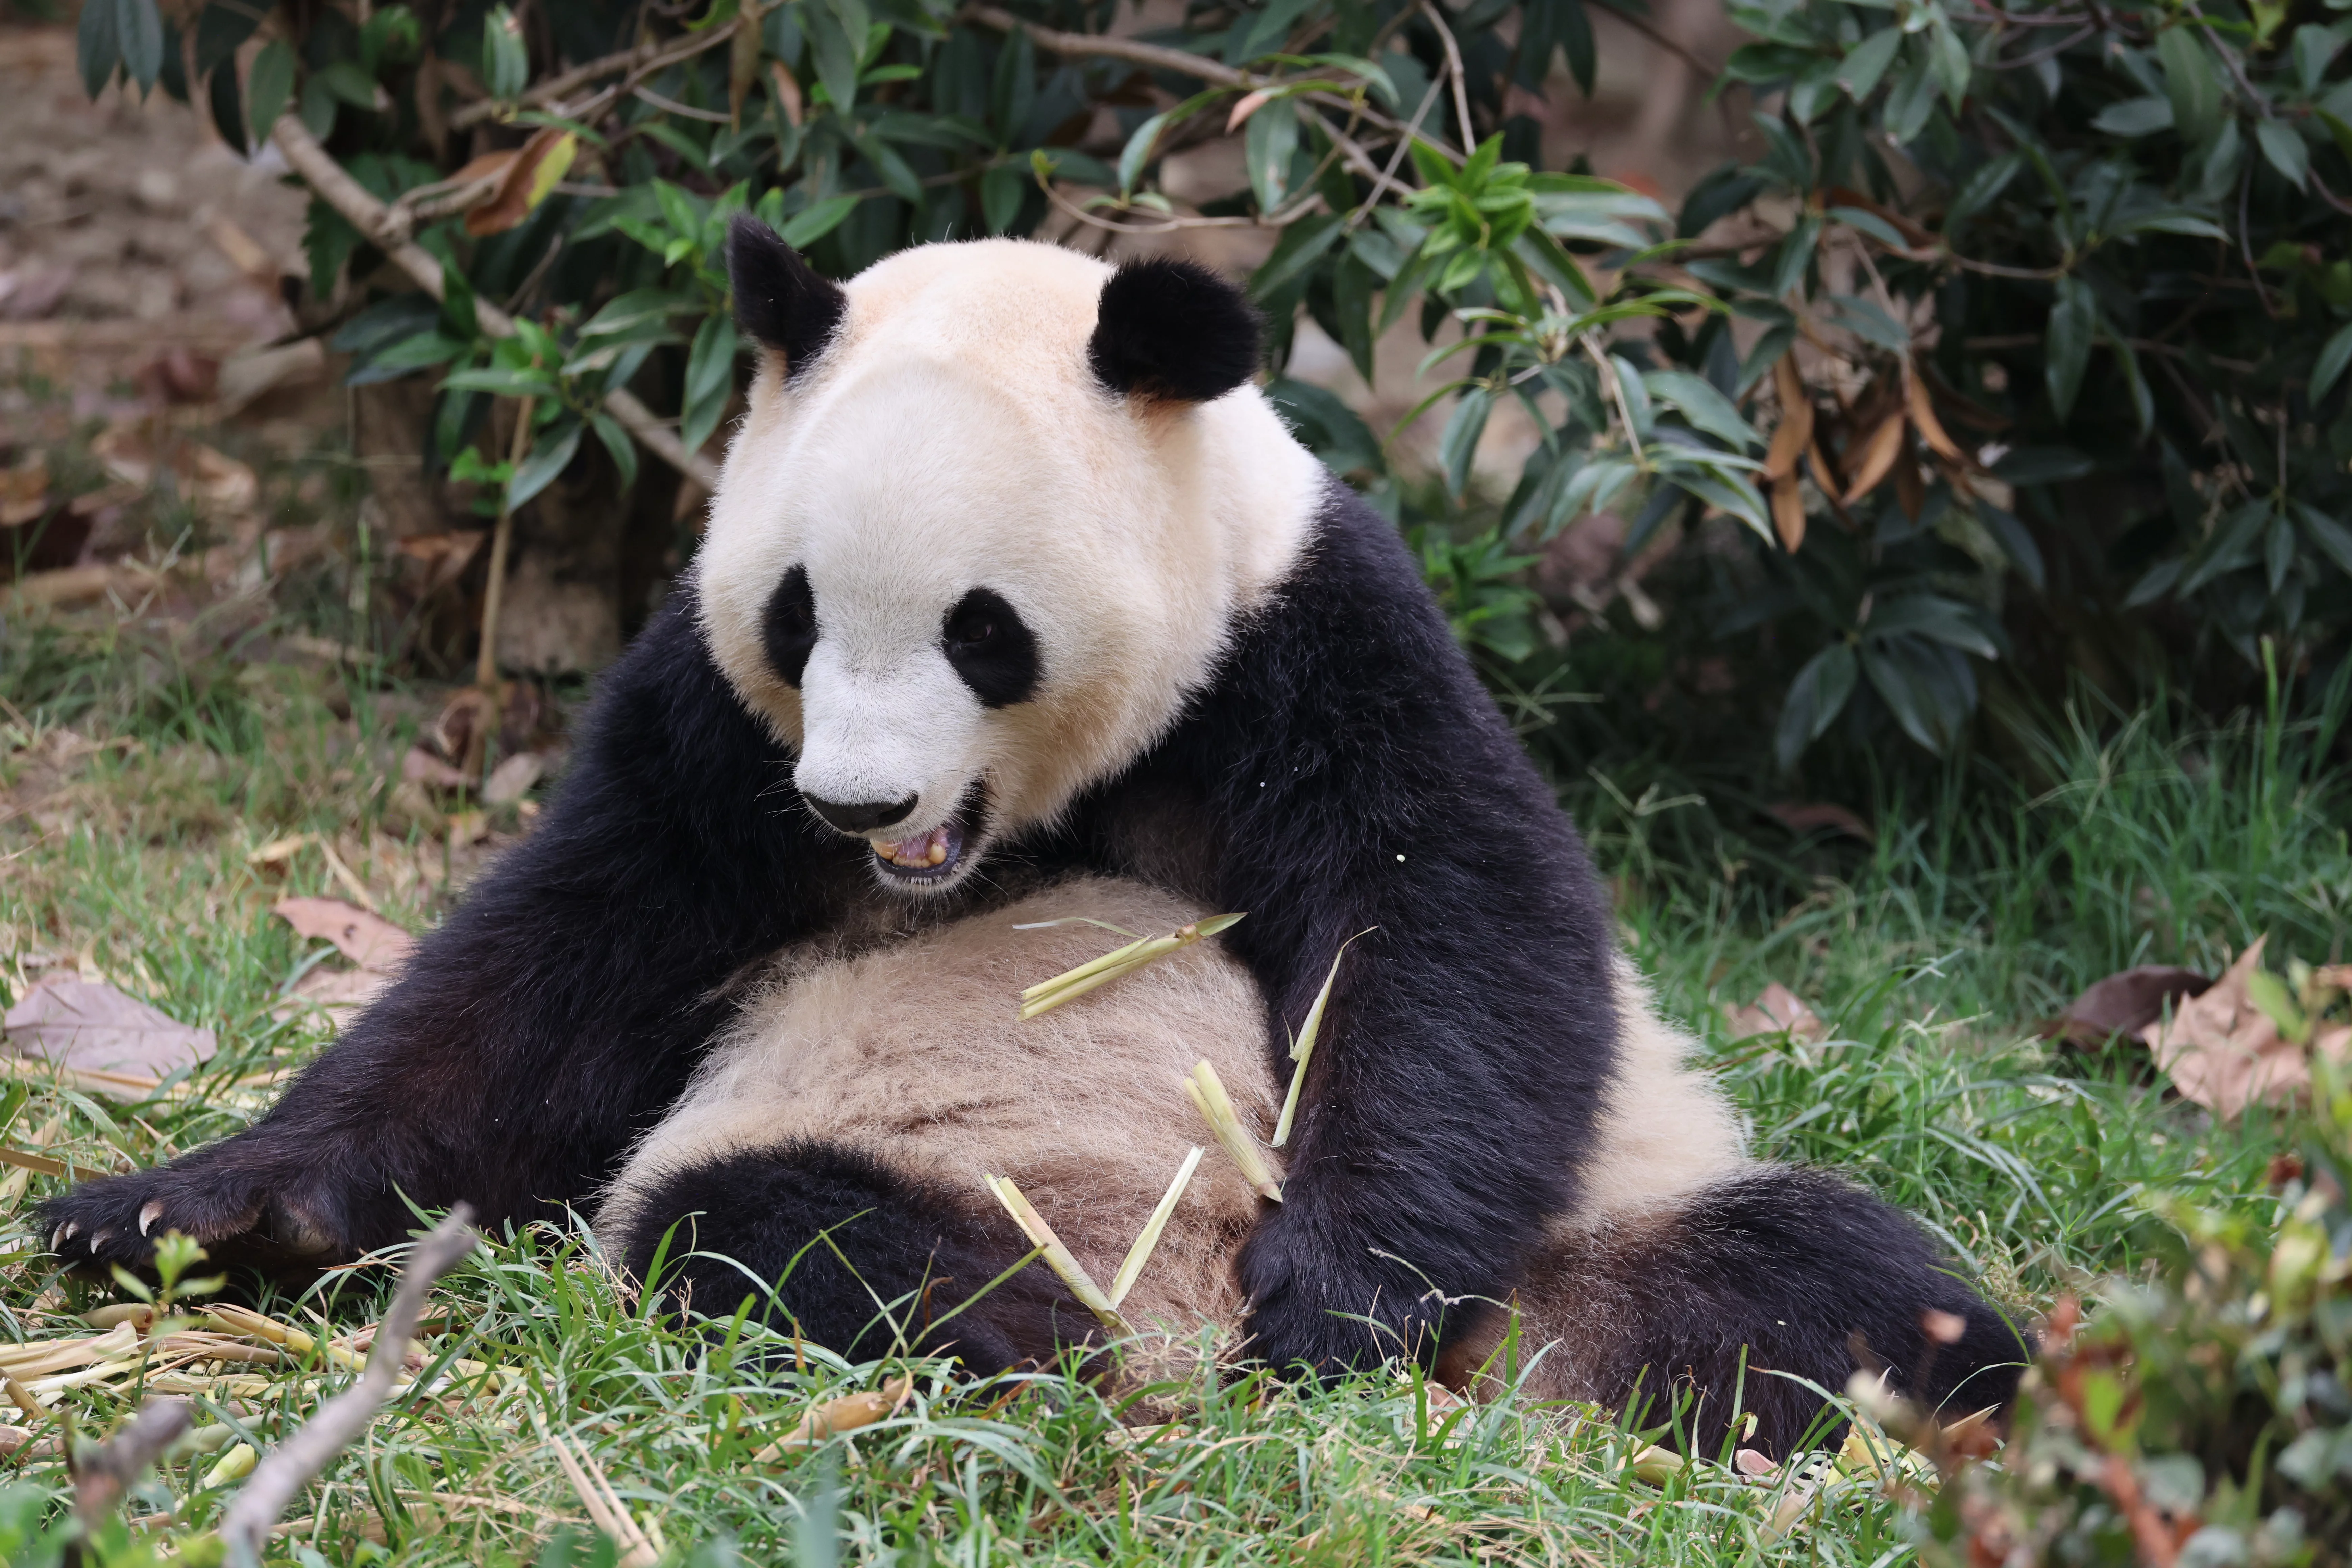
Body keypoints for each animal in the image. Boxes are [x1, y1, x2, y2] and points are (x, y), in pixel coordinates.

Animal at [39, 222, 2023, 1455]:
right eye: (798, 615)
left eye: (982, 630)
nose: (859, 805)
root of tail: (1169, 1324)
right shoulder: (710, 734)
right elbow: (546, 974)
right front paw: (196, 1209)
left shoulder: (1310, 638)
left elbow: (1452, 934)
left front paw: (1338, 1306)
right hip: (879, 1166)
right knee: (761, 1228)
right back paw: (1015, 1340)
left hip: (1594, 1225)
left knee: (1833, 1279)